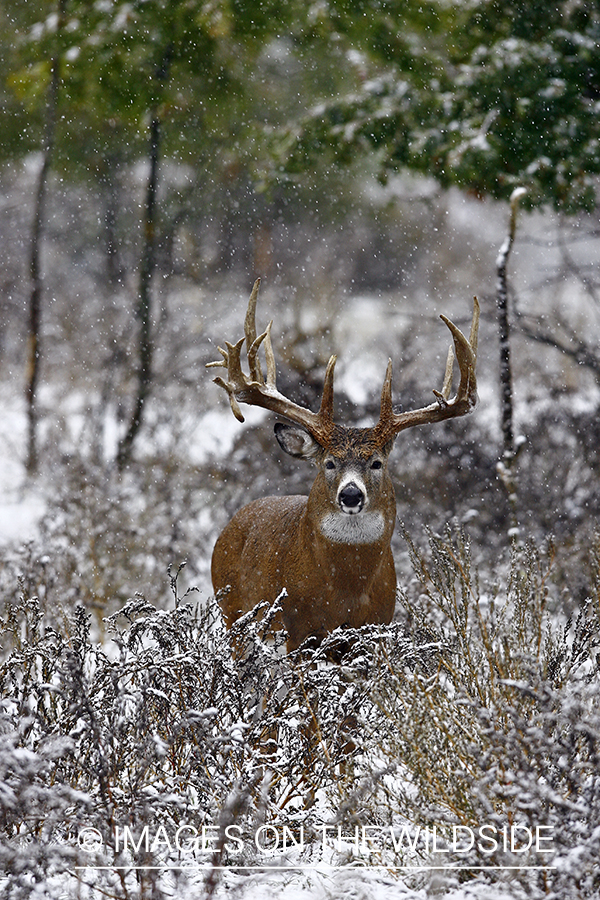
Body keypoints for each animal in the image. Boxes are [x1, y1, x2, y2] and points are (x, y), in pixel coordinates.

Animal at [206, 282, 478, 652]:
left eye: (377, 462)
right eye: (329, 462)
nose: (351, 495)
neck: (345, 589)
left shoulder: (375, 625)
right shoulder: (297, 629)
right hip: (233, 615)